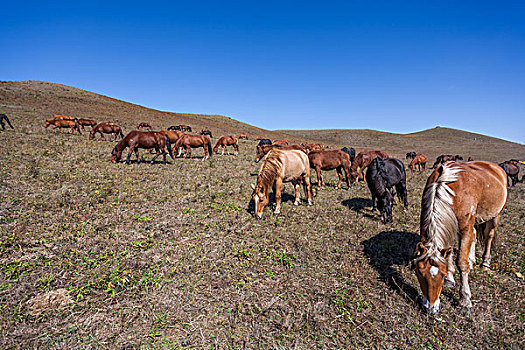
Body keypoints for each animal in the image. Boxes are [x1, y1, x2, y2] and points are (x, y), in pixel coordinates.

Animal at [412, 161, 506, 314]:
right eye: (419, 273)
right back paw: (472, 259)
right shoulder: (449, 224)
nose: (431, 308)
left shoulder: (465, 227)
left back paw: (485, 263)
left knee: (489, 236)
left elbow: (461, 262)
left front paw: (465, 300)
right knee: (474, 234)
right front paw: (451, 278)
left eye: (442, 274)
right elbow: (448, 252)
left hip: (495, 216)